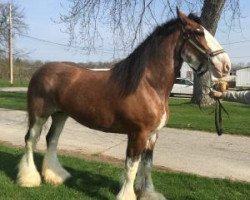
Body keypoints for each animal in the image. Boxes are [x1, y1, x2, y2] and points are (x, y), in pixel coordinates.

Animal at [17, 9, 230, 200]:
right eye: (198, 32)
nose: (226, 65)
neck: (148, 85)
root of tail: (40, 71)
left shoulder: (153, 135)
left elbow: (147, 165)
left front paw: (148, 193)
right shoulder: (138, 134)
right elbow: (131, 166)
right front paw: (127, 195)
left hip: (60, 114)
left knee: (52, 140)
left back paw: (55, 176)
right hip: (39, 114)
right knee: (30, 140)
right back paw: (29, 179)